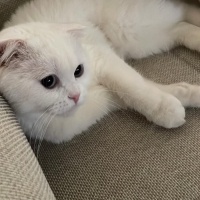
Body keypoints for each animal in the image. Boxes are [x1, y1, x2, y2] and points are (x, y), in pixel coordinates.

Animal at [0, 0, 200, 144]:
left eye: (78, 71)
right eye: (48, 81)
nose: (75, 95)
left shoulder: (102, 59)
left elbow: (133, 87)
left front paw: (164, 108)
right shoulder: (67, 122)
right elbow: (128, 93)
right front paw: (188, 94)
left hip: (128, 25)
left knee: (183, 10)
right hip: (142, 38)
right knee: (180, 27)